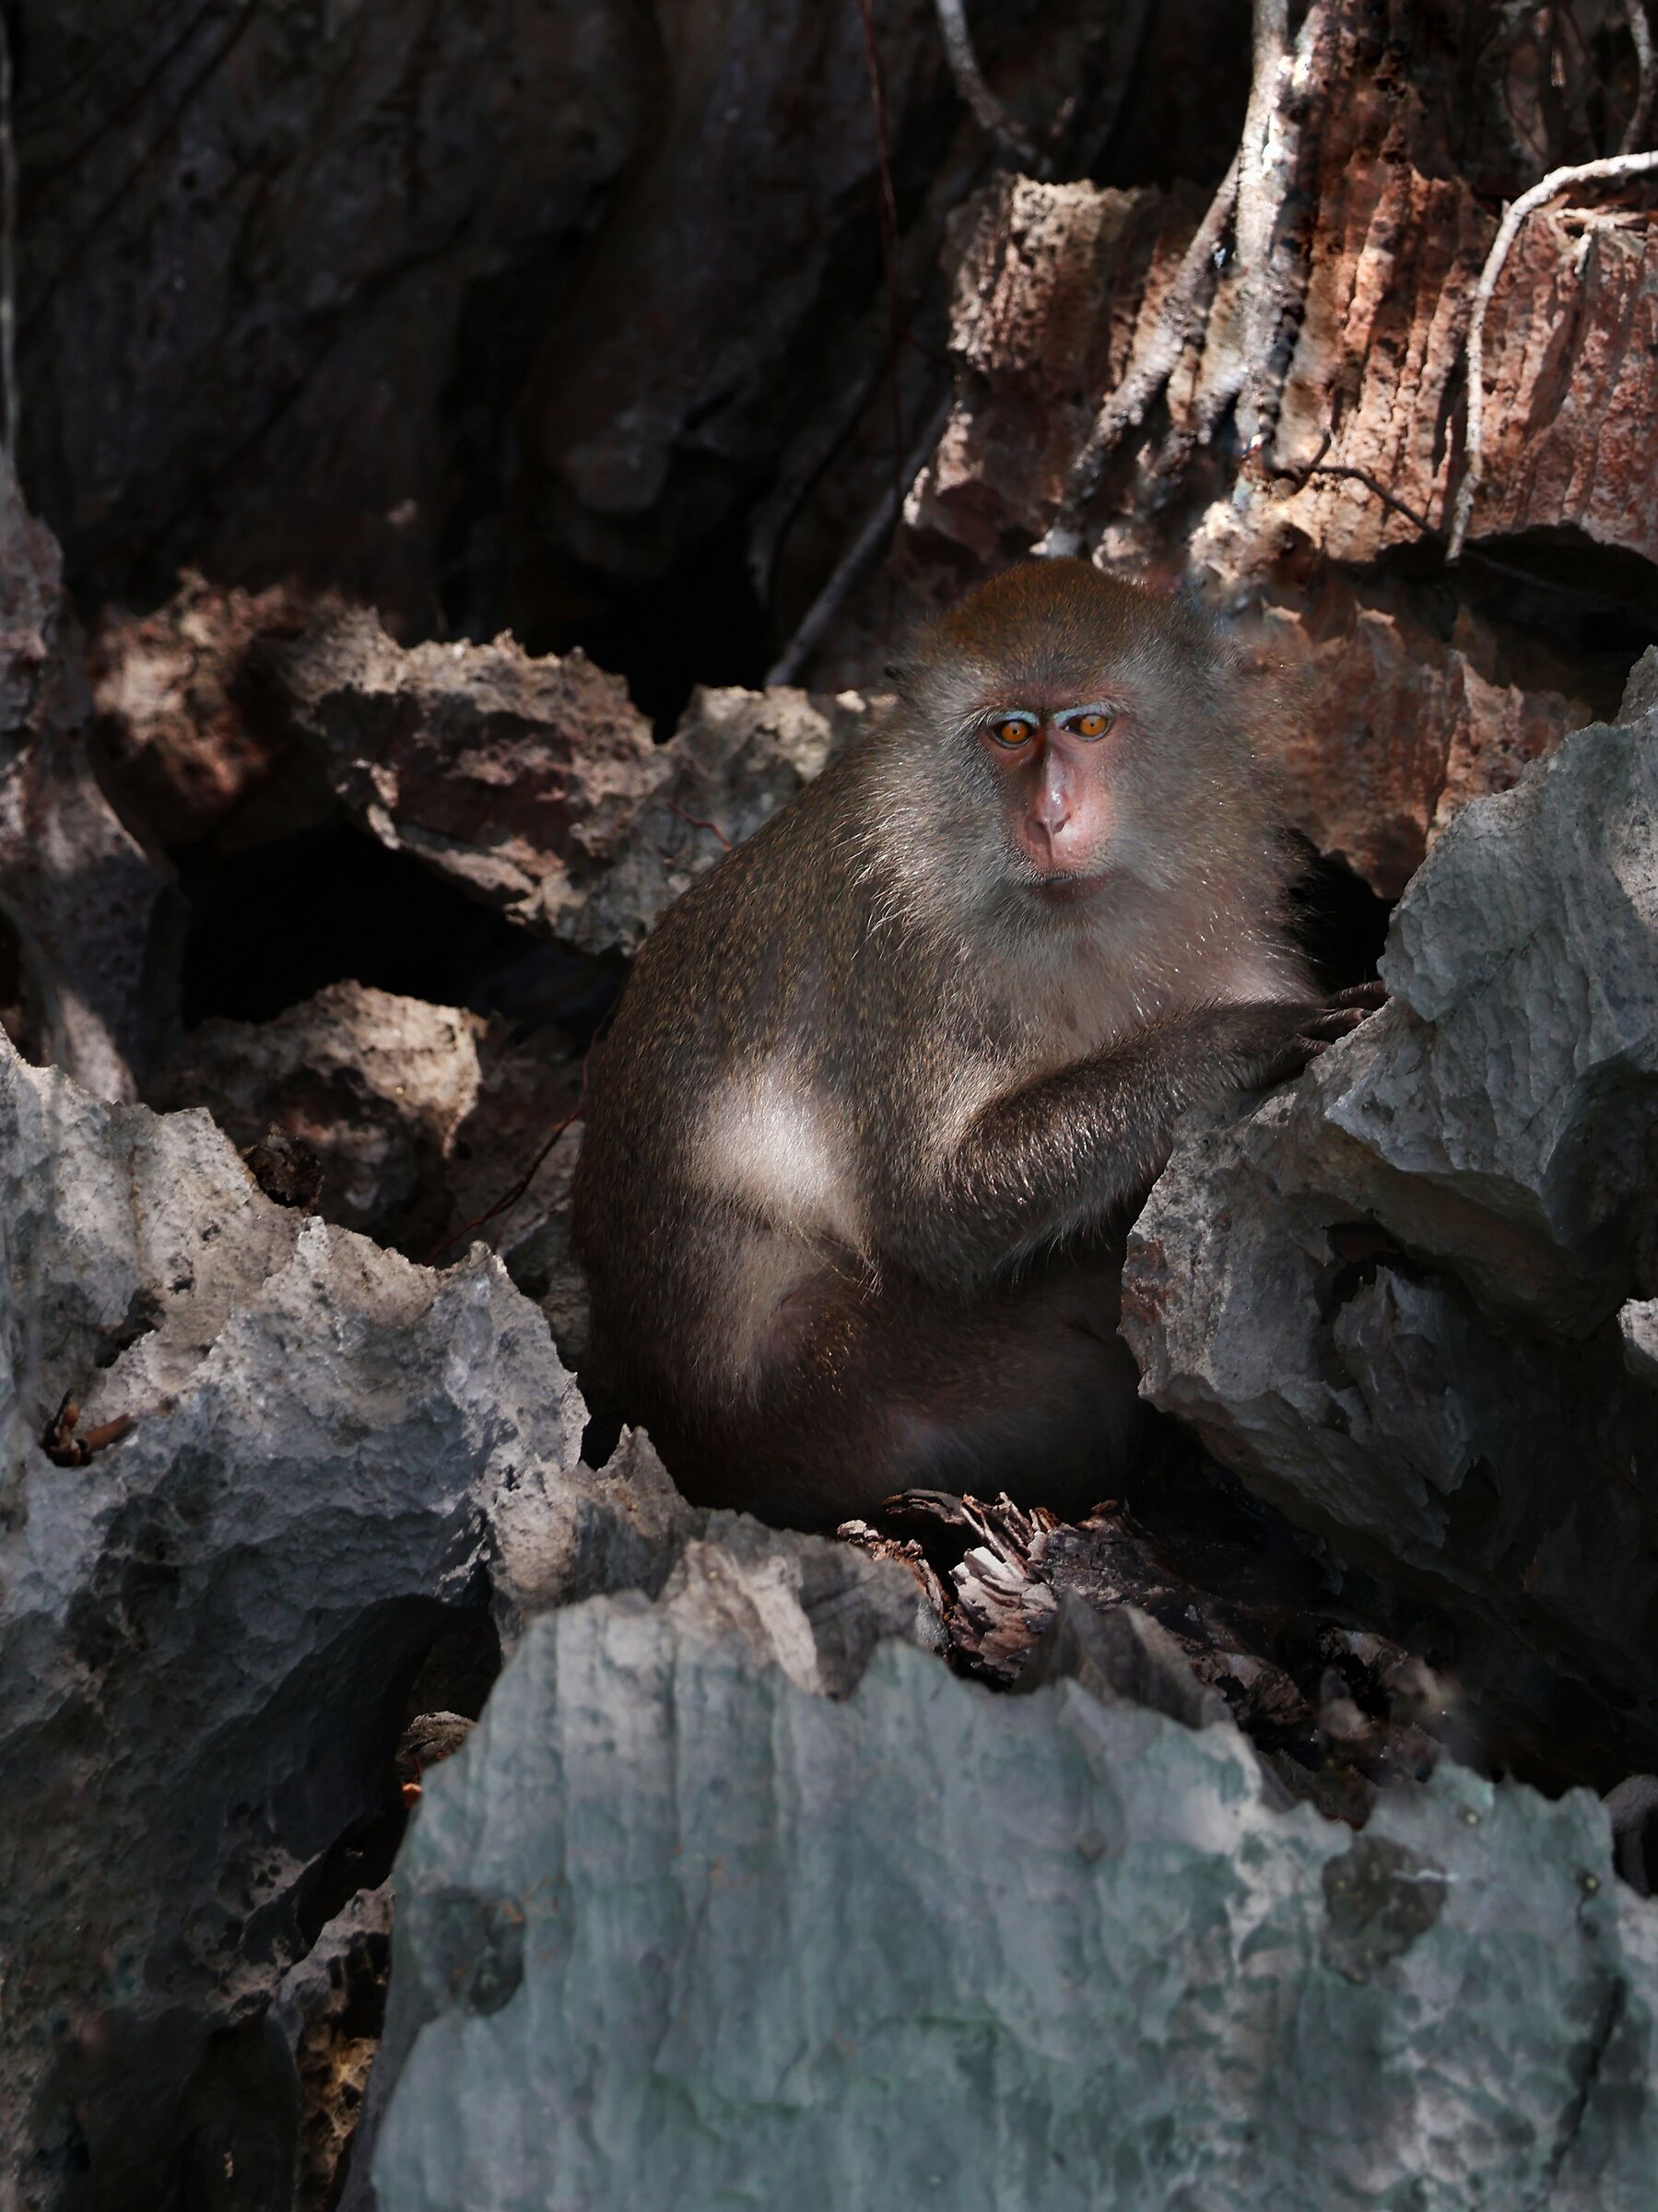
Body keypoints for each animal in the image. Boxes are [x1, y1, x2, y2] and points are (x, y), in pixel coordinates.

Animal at [571, 559, 1377, 1529]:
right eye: (1010, 733)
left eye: (1089, 726)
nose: (1051, 816)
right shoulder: (901, 954)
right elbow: (936, 1211)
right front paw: (1237, 1040)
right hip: (840, 1390)